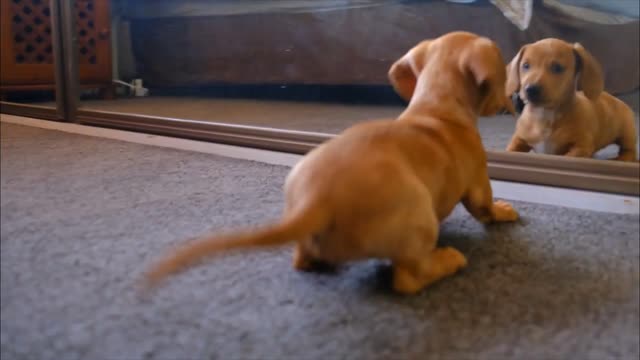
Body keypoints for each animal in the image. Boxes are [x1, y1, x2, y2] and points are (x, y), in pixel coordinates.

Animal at [142, 31, 516, 296]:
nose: (508, 103)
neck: (437, 107)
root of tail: (316, 201)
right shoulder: (478, 180)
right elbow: (485, 206)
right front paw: (503, 211)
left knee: (303, 259)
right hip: (418, 219)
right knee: (408, 279)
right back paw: (448, 260)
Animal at [504, 38, 636, 160]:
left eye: (557, 68)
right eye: (525, 65)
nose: (530, 89)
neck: (544, 116)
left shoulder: (581, 147)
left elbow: (569, 156)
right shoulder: (519, 139)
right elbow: (510, 150)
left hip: (627, 134)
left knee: (629, 151)